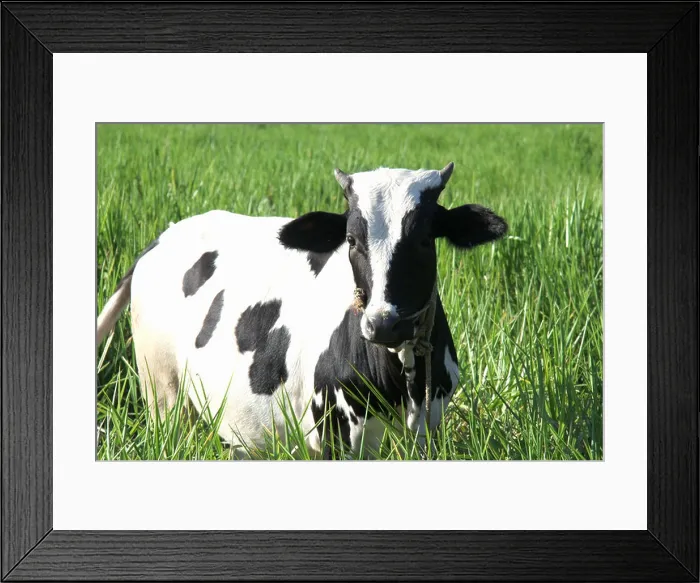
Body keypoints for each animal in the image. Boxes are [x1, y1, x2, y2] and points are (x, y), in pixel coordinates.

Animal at [96, 162, 508, 458]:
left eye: (424, 239)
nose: (383, 324)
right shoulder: (335, 438)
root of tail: (163, 236)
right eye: (351, 239)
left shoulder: (429, 431)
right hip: (161, 392)